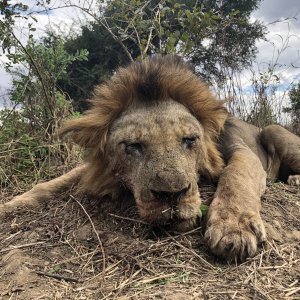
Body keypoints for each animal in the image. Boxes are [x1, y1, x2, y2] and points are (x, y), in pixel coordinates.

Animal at [1, 55, 300, 260]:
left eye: (189, 140)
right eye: (133, 146)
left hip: (273, 129)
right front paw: (10, 205)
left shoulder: (240, 150)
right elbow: (50, 183)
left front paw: (233, 228)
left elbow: (235, 175)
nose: (172, 195)